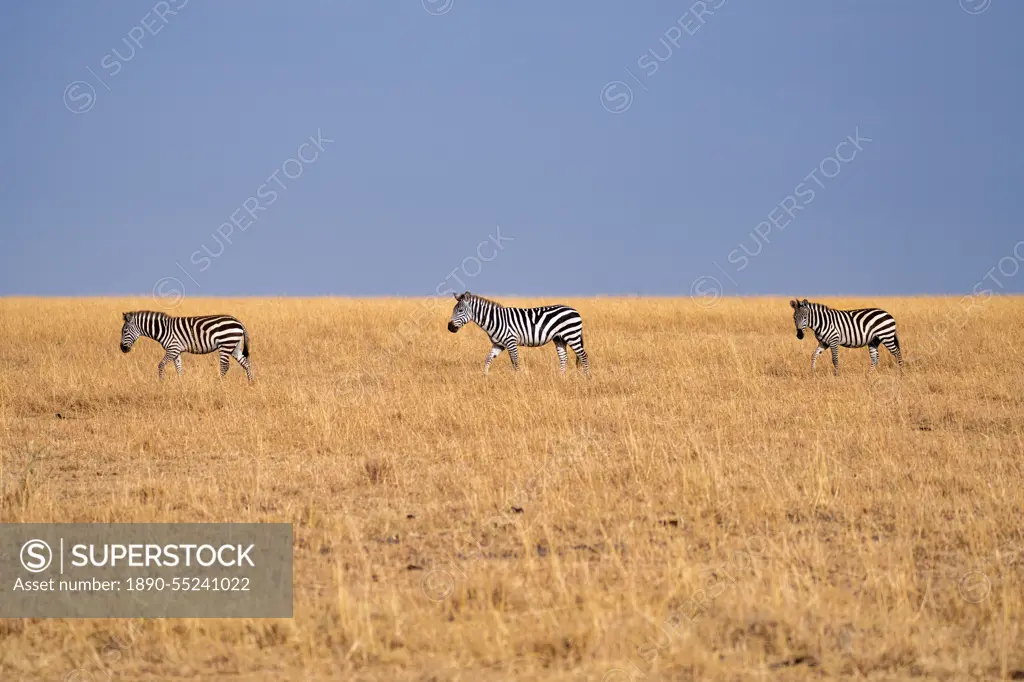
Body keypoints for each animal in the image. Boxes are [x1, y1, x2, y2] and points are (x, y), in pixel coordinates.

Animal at [120, 309, 253, 378]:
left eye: (125, 331)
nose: (122, 348)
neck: (163, 329)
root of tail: (238, 322)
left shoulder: (172, 348)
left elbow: (161, 365)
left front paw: (161, 382)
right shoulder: (176, 351)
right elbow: (179, 368)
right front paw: (181, 384)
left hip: (225, 344)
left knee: (225, 366)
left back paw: (219, 383)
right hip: (234, 346)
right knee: (246, 364)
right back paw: (250, 383)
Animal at [448, 288, 593, 374]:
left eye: (460, 310)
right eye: (454, 310)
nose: (449, 327)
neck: (494, 320)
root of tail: (574, 310)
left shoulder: (511, 341)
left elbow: (515, 362)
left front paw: (517, 379)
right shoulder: (498, 344)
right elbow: (488, 359)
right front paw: (485, 377)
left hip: (572, 335)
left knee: (583, 356)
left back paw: (586, 378)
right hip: (559, 338)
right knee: (563, 358)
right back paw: (561, 378)